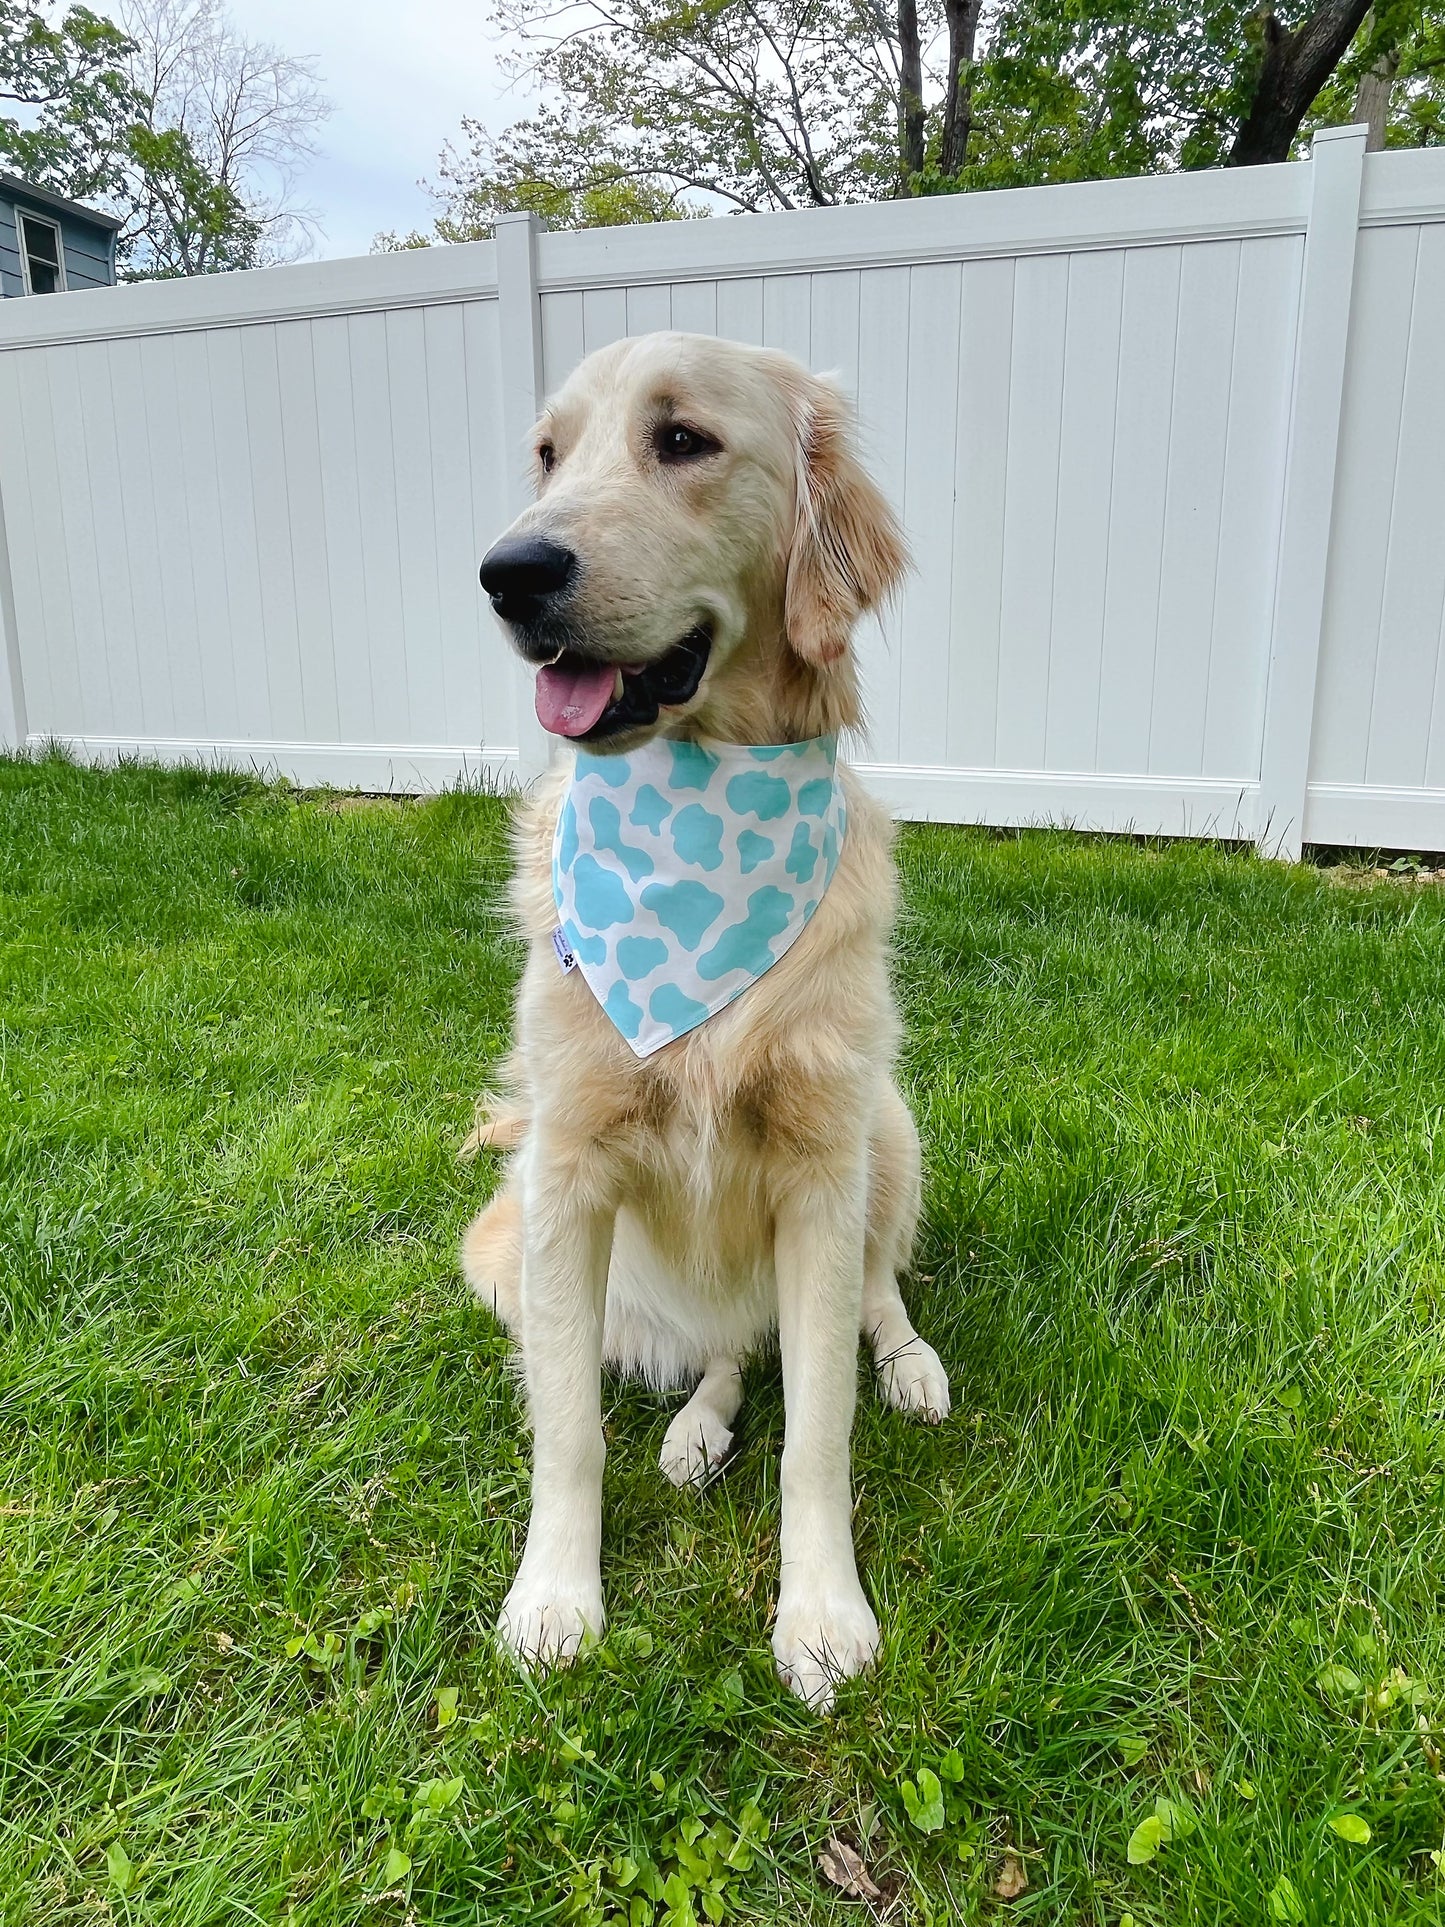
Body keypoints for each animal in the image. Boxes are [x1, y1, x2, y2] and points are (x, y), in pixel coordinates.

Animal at [464, 327, 955, 1703]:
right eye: (547, 452)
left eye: (680, 440)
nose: (508, 573)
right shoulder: (564, 1172)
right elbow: (566, 1430)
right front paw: (554, 1596)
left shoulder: (820, 1166)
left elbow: (819, 1435)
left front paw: (822, 1612)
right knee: (725, 1351)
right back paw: (692, 1429)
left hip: (885, 1127)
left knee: (868, 1297)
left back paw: (908, 1363)